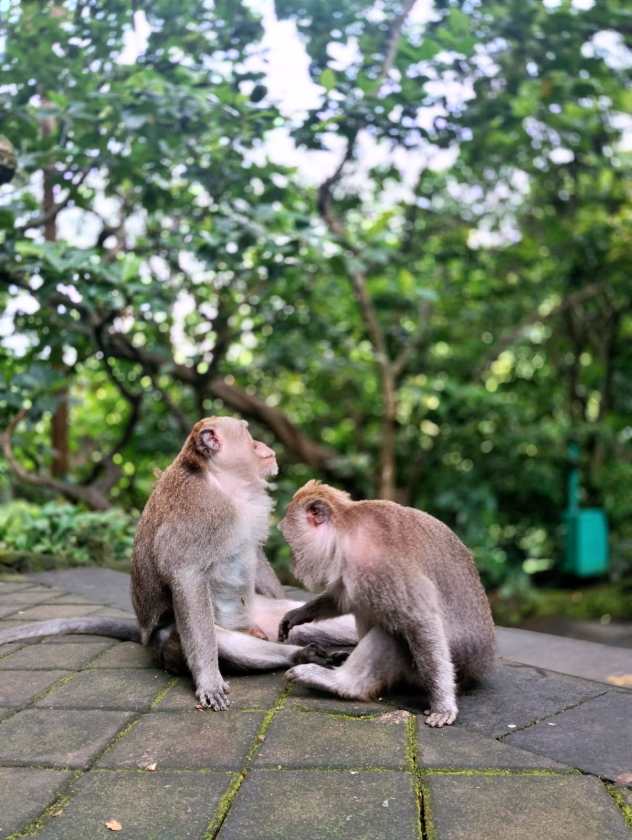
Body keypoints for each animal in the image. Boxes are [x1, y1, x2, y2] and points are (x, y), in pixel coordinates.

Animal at [0, 418, 347, 709]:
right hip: (170, 640)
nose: (263, 444)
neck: (222, 483)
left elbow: (256, 553)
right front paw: (208, 680)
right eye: (248, 435)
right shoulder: (198, 514)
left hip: (263, 615)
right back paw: (295, 655)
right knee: (219, 638)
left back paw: (306, 650)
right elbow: (186, 576)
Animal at [277, 481, 496, 727]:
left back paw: (342, 683)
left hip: (418, 673)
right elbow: (342, 600)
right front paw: (298, 613)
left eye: (291, 544)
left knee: (392, 634)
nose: (292, 562)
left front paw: (442, 704)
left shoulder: (381, 566)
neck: (348, 533)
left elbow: (421, 622)